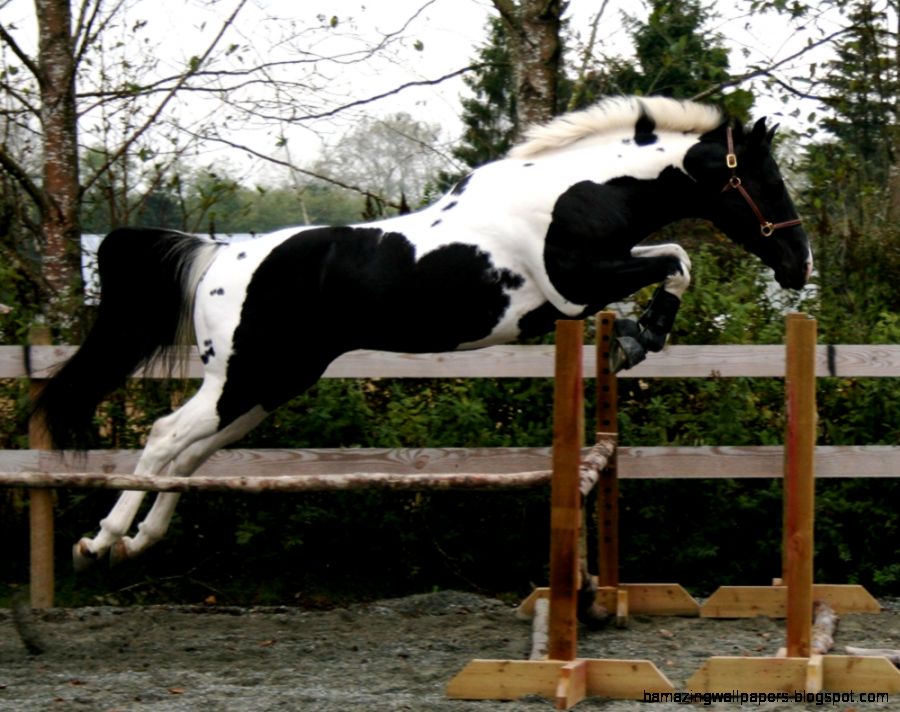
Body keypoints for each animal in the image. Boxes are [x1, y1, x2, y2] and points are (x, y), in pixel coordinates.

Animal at [33, 95, 812, 569]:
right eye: (765, 182)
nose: (798, 265)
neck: (579, 194)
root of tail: (218, 254)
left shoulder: (588, 283)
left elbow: (674, 259)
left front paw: (634, 338)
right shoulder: (575, 286)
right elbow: (675, 259)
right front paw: (640, 336)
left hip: (271, 384)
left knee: (193, 455)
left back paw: (139, 542)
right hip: (243, 377)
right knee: (166, 437)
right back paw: (99, 544)